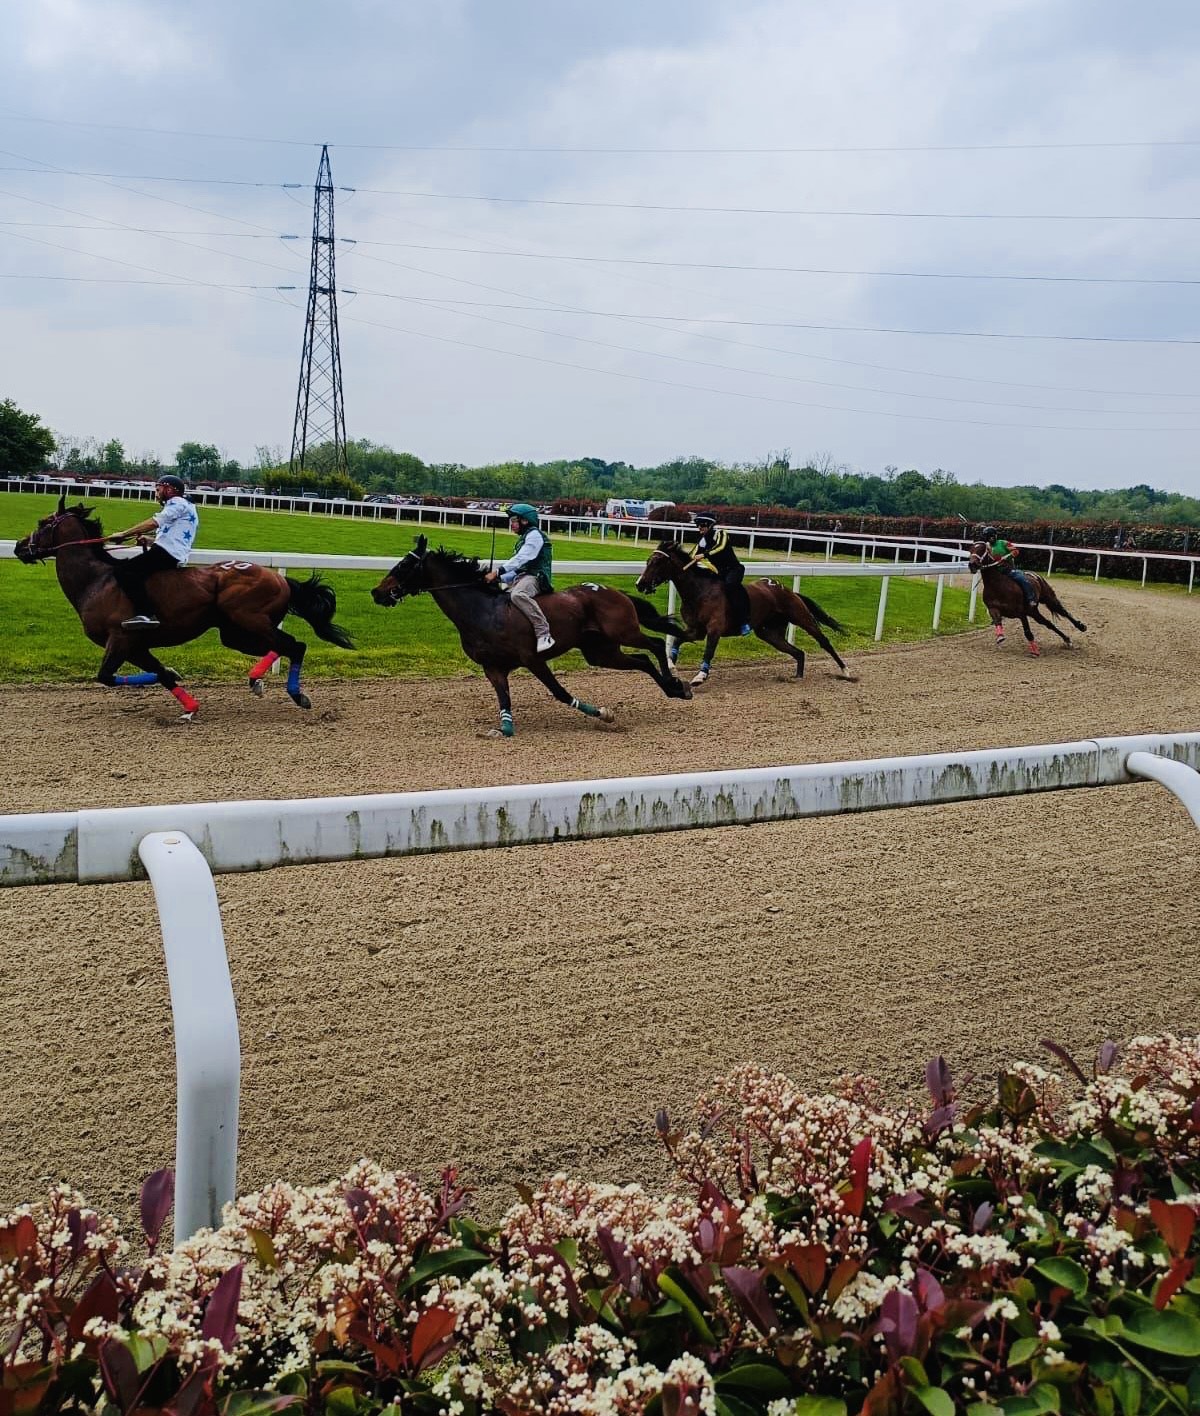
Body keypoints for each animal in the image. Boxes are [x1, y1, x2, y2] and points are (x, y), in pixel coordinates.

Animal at [15, 498, 351, 719]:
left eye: (42, 523)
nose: (19, 547)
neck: (97, 581)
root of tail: (279, 579)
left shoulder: (121, 639)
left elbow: (107, 677)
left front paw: (176, 680)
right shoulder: (136, 646)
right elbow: (159, 674)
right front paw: (188, 704)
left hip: (248, 619)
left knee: (296, 645)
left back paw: (297, 694)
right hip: (235, 631)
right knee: (282, 646)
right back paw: (256, 679)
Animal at [365, 532, 688, 741]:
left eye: (403, 565)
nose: (377, 592)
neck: (483, 611)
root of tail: (614, 591)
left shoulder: (533, 658)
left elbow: (560, 692)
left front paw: (601, 713)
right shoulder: (493, 668)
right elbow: (504, 702)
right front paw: (501, 729)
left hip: (623, 631)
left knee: (654, 645)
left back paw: (677, 684)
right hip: (600, 652)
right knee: (642, 660)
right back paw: (672, 688)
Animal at [637, 538, 855, 688]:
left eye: (656, 562)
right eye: (647, 561)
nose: (640, 584)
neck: (699, 591)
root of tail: (789, 590)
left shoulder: (714, 629)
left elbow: (708, 651)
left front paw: (700, 677)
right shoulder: (695, 630)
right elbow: (677, 640)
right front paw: (672, 667)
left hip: (801, 617)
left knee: (823, 641)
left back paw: (846, 671)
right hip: (769, 633)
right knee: (797, 652)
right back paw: (797, 676)